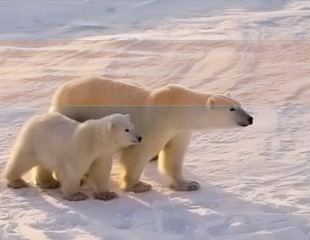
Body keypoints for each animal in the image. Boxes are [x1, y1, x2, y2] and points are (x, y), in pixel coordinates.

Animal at [49, 79, 253, 193]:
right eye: (232, 109)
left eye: (239, 104)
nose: (250, 118)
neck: (179, 111)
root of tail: (60, 89)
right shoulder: (158, 122)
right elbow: (138, 152)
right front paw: (138, 186)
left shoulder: (179, 130)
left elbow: (174, 156)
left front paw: (188, 184)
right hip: (74, 110)